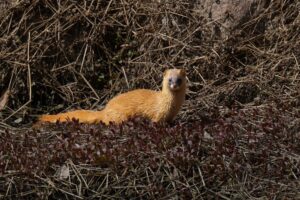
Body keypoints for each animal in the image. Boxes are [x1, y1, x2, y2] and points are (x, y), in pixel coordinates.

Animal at [38, 69, 186, 125]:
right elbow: (155, 121)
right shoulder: (158, 114)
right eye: (169, 79)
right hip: (120, 117)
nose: (174, 84)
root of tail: (105, 110)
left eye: (179, 80)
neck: (172, 106)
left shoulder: (171, 116)